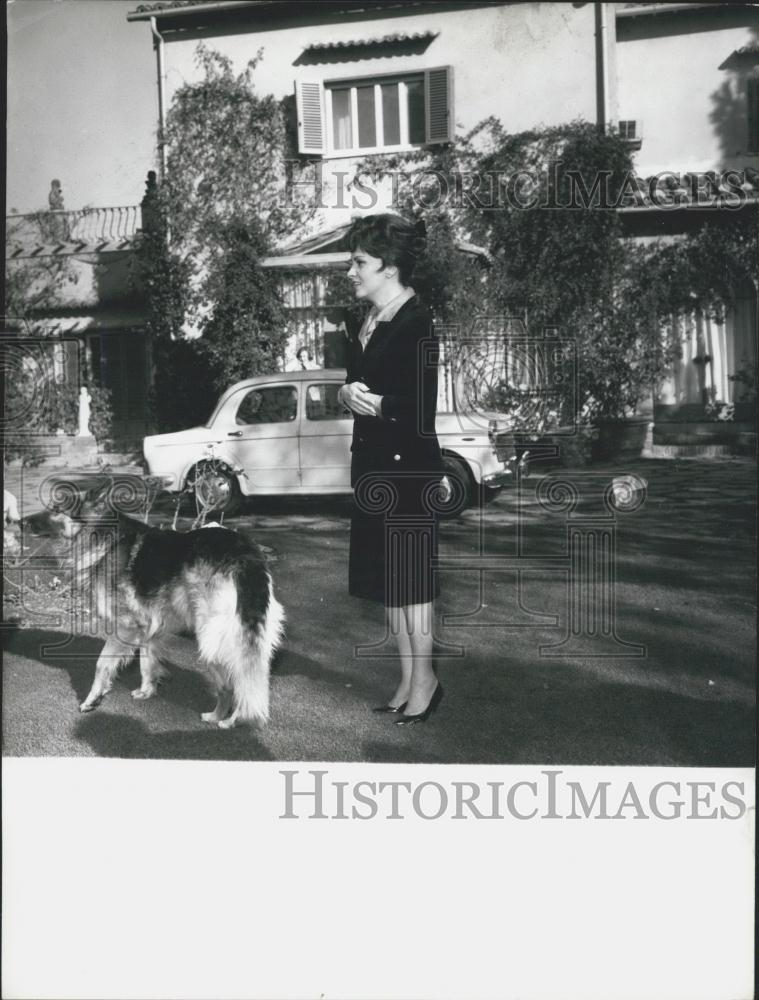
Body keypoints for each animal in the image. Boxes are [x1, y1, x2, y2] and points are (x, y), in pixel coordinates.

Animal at [29, 480, 284, 732]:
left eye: (56, 509)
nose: (22, 523)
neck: (101, 535)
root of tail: (245, 554)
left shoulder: (125, 626)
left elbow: (102, 664)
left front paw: (92, 699)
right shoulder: (148, 627)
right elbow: (147, 663)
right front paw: (147, 691)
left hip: (212, 636)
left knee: (234, 682)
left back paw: (224, 718)